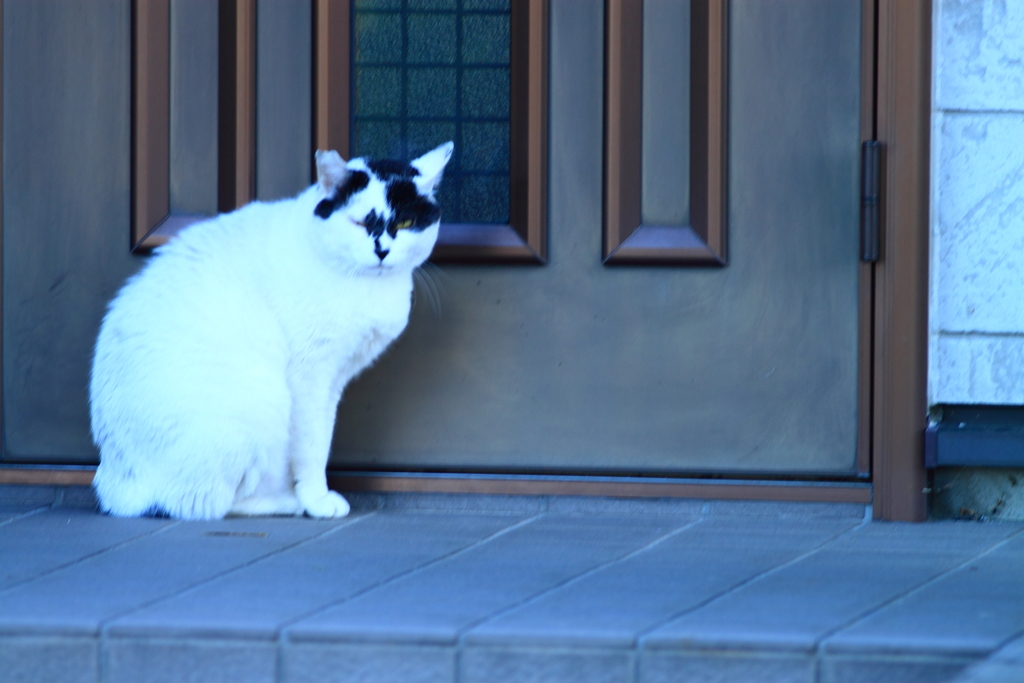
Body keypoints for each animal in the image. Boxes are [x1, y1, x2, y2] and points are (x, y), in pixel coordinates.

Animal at [91, 141, 452, 520]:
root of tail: (117, 484)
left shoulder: (334, 381)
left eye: (406, 222)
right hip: (262, 404)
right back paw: (286, 502)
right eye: (359, 222)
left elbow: (324, 436)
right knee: (200, 502)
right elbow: (312, 446)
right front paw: (316, 498)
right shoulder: (309, 377)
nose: (382, 251)